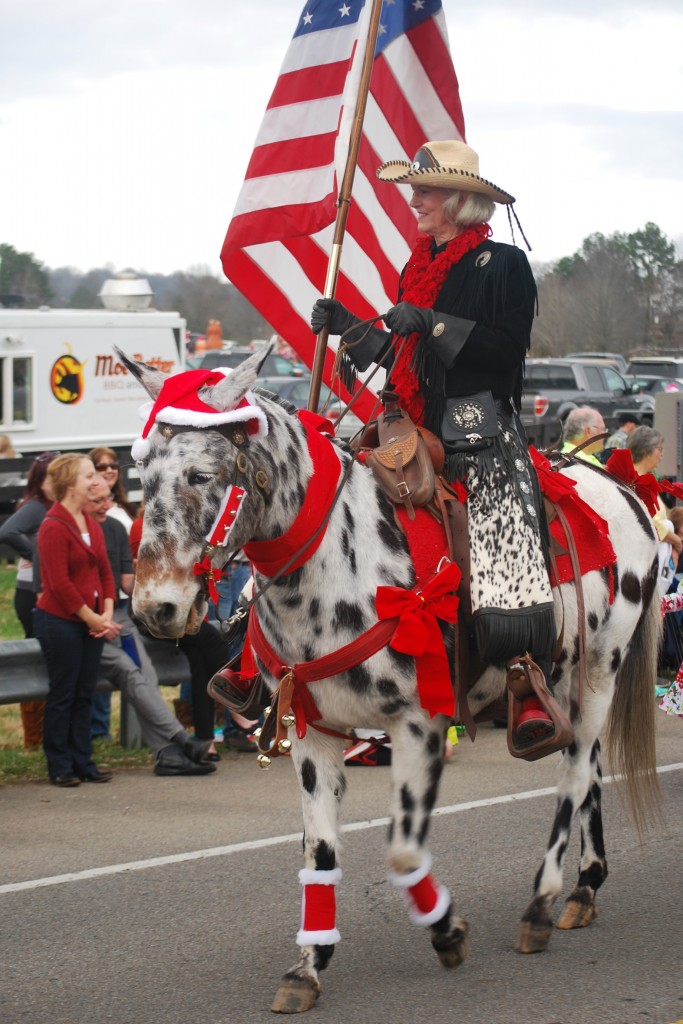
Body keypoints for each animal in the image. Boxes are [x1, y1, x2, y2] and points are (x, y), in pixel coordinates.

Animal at [121, 348, 663, 1011]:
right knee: (590, 774)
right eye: (141, 473)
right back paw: (585, 887)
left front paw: (447, 931)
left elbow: (404, 852)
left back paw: (543, 902)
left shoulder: (418, 725)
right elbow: (319, 851)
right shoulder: (314, 732)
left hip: (598, 675)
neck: (335, 564)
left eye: (201, 474)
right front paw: (309, 965)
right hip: (566, 682)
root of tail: (625, 490)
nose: (156, 609)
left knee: (576, 776)